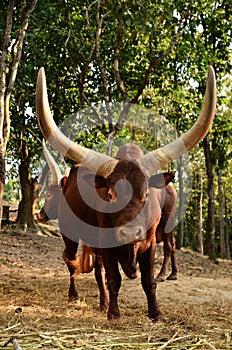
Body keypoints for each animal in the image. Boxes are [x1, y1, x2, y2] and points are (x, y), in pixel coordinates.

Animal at [35, 66, 216, 320]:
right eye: (110, 196)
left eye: (146, 196)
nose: (129, 233)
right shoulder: (105, 244)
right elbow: (113, 279)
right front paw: (113, 313)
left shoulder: (149, 243)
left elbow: (148, 282)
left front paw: (156, 313)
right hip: (70, 235)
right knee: (71, 262)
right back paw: (75, 295)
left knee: (166, 247)